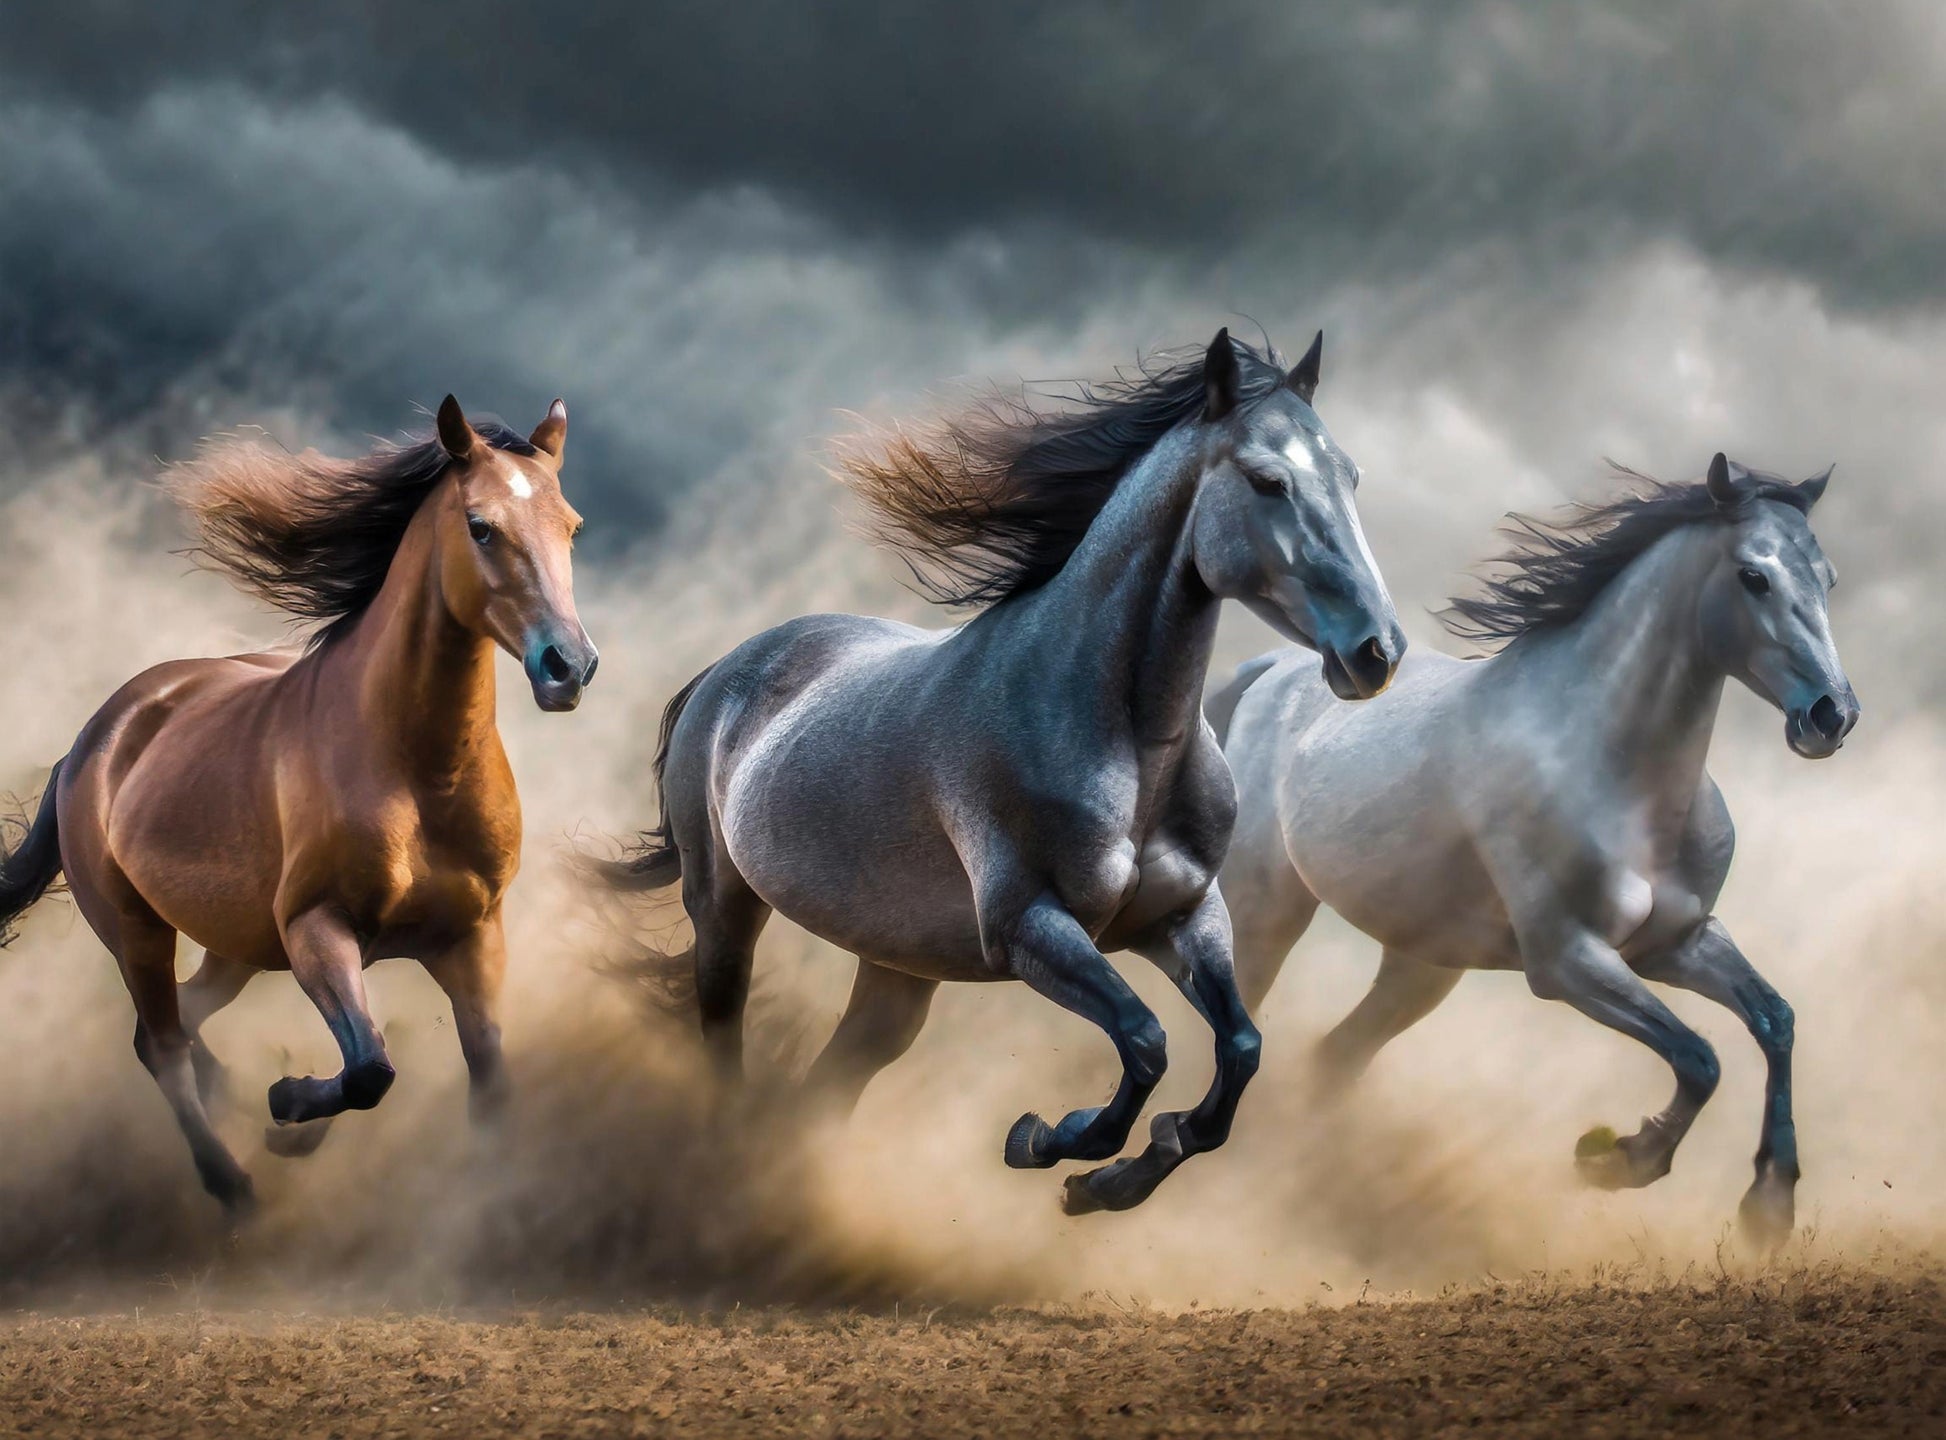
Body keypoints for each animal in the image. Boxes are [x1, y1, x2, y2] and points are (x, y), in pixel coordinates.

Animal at [0, 396, 598, 1215]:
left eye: (571, 525)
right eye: (480, 526)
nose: (569, 666)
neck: (420, 771)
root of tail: (91, 742)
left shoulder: (473, 937)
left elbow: (487, 1085)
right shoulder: (317, 928)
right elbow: (371, 1067)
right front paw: (285, 1104)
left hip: (235, 947)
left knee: (180, 1019)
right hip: (135, 930)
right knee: (160, 1044)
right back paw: (232, 1183)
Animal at [594, 328, 1405, 1214]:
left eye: (1353, 476)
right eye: (1267, 480)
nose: (1377, 651)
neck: (1122, 742)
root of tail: (726, 669)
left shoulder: (1183, 917)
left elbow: (1241, 1049)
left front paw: (1120, 1177)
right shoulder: (1028, 927)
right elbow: (1145, 1039)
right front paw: (1053, 1142)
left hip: (897, 968)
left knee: (833, 1081)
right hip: (725, 908)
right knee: (723, 1042)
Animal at [1209, 453, 1857, 1247]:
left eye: (1827, 578)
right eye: (1753, 576)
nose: (1831, 716)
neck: (1614, 774)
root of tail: (1271, 671)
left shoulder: (1679, 944)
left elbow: (1775, 1022)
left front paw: (1769, 1203)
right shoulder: (1567, 960)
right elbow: (1700, 1057)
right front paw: (1617, 1157)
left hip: (1422, 966)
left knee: (1333, 1060)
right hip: (1266, 913)